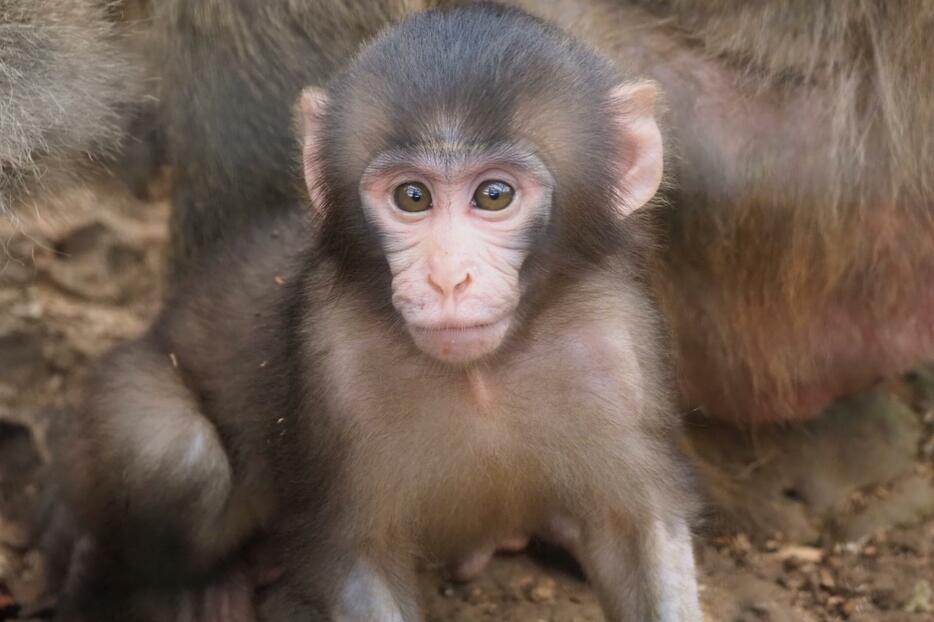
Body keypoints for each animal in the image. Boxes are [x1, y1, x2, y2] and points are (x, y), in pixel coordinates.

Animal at [58, 4, 704, 622]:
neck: (483, 376)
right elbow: (355, 557)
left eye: (494, 195)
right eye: (412, 197)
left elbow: (635, 528)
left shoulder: (615, 342)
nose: (447, 278)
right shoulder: (333, 357)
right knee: (179, 459)